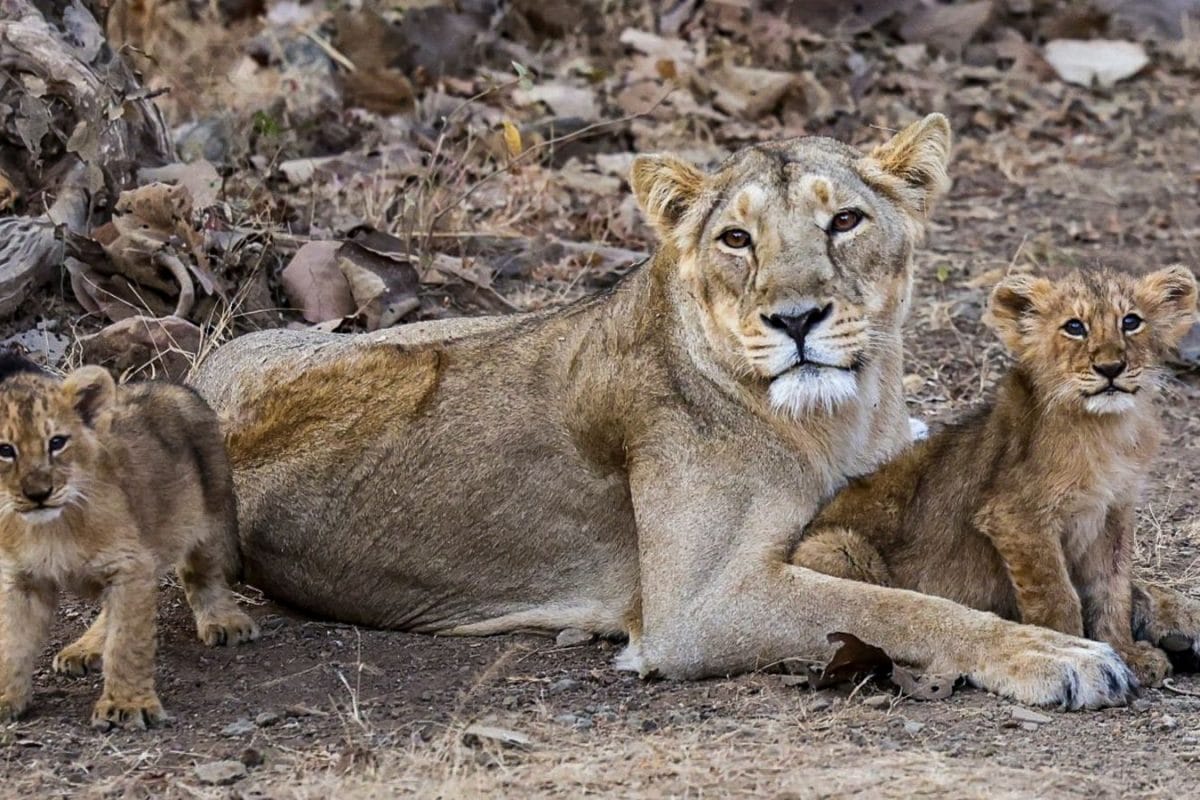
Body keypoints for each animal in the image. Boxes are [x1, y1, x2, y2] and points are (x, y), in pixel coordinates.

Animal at [0, 355, 258, 729]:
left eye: (57, 442)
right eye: (5, 450)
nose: (38, 494)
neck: (51, 528)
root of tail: (169, 383)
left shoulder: (131, 565)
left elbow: (127, 642)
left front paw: (126, 705)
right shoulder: (20, 579)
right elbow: (11, 641)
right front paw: (6, 697)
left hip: (210, 510)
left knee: (204, 574)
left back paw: (224, 622)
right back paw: (85, 649)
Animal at [792, 265, 1199, 686]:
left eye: (1131, 322)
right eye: (1074, 327)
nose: (1111, 368)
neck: (1105, 429)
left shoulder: (1113, 514)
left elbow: (1111, 590)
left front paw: (1127, 652)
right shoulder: (1016, 515)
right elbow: (1057, 594)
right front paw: (1074, 649)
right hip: (835, 547)